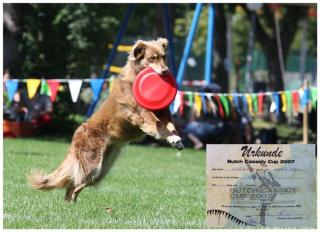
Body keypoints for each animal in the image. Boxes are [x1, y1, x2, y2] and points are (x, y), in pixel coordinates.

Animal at [28, 37, 184, 201]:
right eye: (152, 58)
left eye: (164, 57)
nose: (165, 71)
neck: (135, 74)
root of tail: (77, 134)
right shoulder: (142, 112)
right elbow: (157, 124)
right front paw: (173, 138)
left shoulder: (164, 112)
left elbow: (170, 126)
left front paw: (176, 139)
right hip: (93, 164)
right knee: (73, 184)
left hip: (103, 169)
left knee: (76, 185)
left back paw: (72, 203)